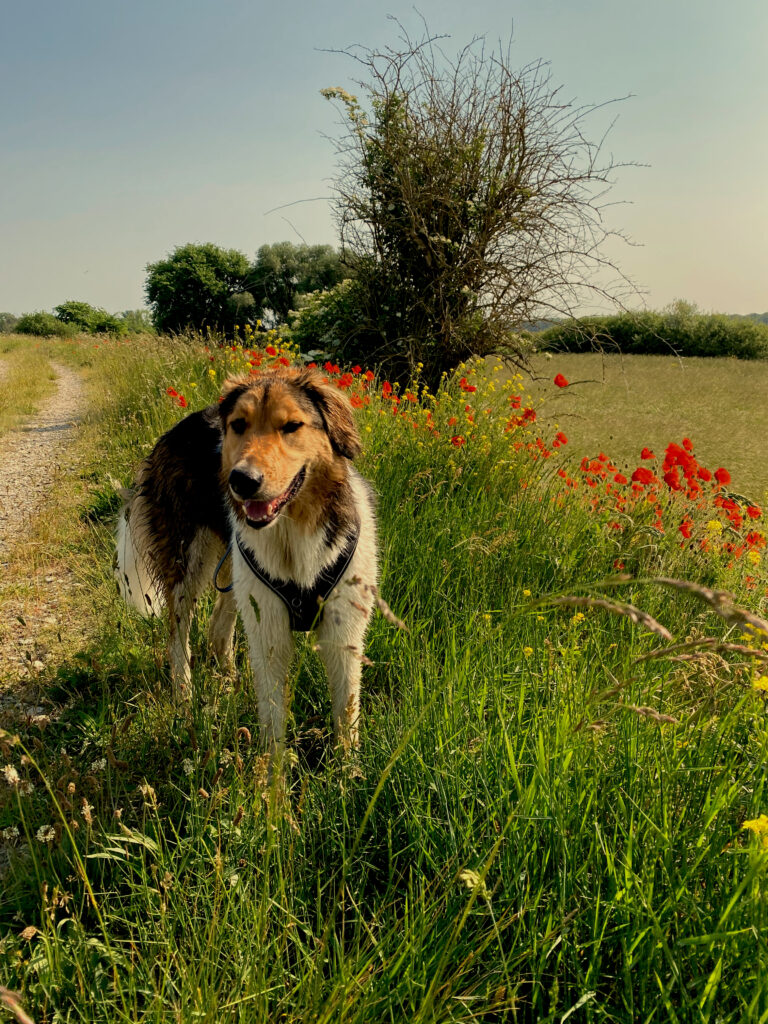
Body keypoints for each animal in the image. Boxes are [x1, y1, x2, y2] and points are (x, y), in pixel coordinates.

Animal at [115, 368, 378, 753]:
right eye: (239, 425)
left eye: (292, 426)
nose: (242, 480)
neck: (291, 534)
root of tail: (176, 429)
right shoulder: (268, 629)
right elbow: (272, 715)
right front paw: (272, 767)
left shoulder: (342, 630)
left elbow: (346, 713)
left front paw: (347, 767)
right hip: (188, 564)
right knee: (178, 636)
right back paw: (184, 699)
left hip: (235, 570)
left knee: (216, 628)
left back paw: (227, 680)